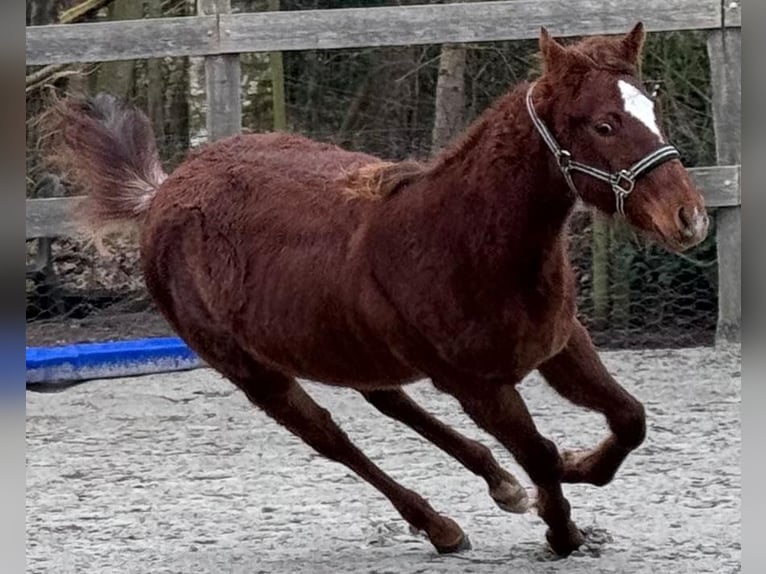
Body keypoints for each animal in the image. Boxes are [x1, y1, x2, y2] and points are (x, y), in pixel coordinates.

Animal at [45, 22, 709, 557]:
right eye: (604, 123)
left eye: (651, 108)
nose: (690, 217)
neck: (460, 237)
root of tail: (161, 193)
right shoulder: (476, 385)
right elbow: (539, 450)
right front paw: (563, 530)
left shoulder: (561, 343)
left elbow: (630, 417)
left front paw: (577, 469)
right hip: (252, 370)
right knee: (332, 438)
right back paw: (441, 526)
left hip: (343, 341)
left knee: (386, 400)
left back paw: (498, 485)